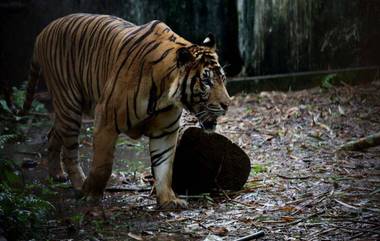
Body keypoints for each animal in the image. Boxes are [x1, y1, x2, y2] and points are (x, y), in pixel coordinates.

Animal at [23, 13, 232, 209]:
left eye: (222, 79)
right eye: (206, 81)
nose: (227, 104)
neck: (165, 95)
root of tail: (43, 31)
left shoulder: (165, 131)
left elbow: (164, 167)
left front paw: (168, 200)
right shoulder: (106, 120)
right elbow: (102, 165)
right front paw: (91, 194)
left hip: (66, 111)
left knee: (53, 134)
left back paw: (57, 174)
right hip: (69, 104)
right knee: (70, 152)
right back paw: (79, 185)